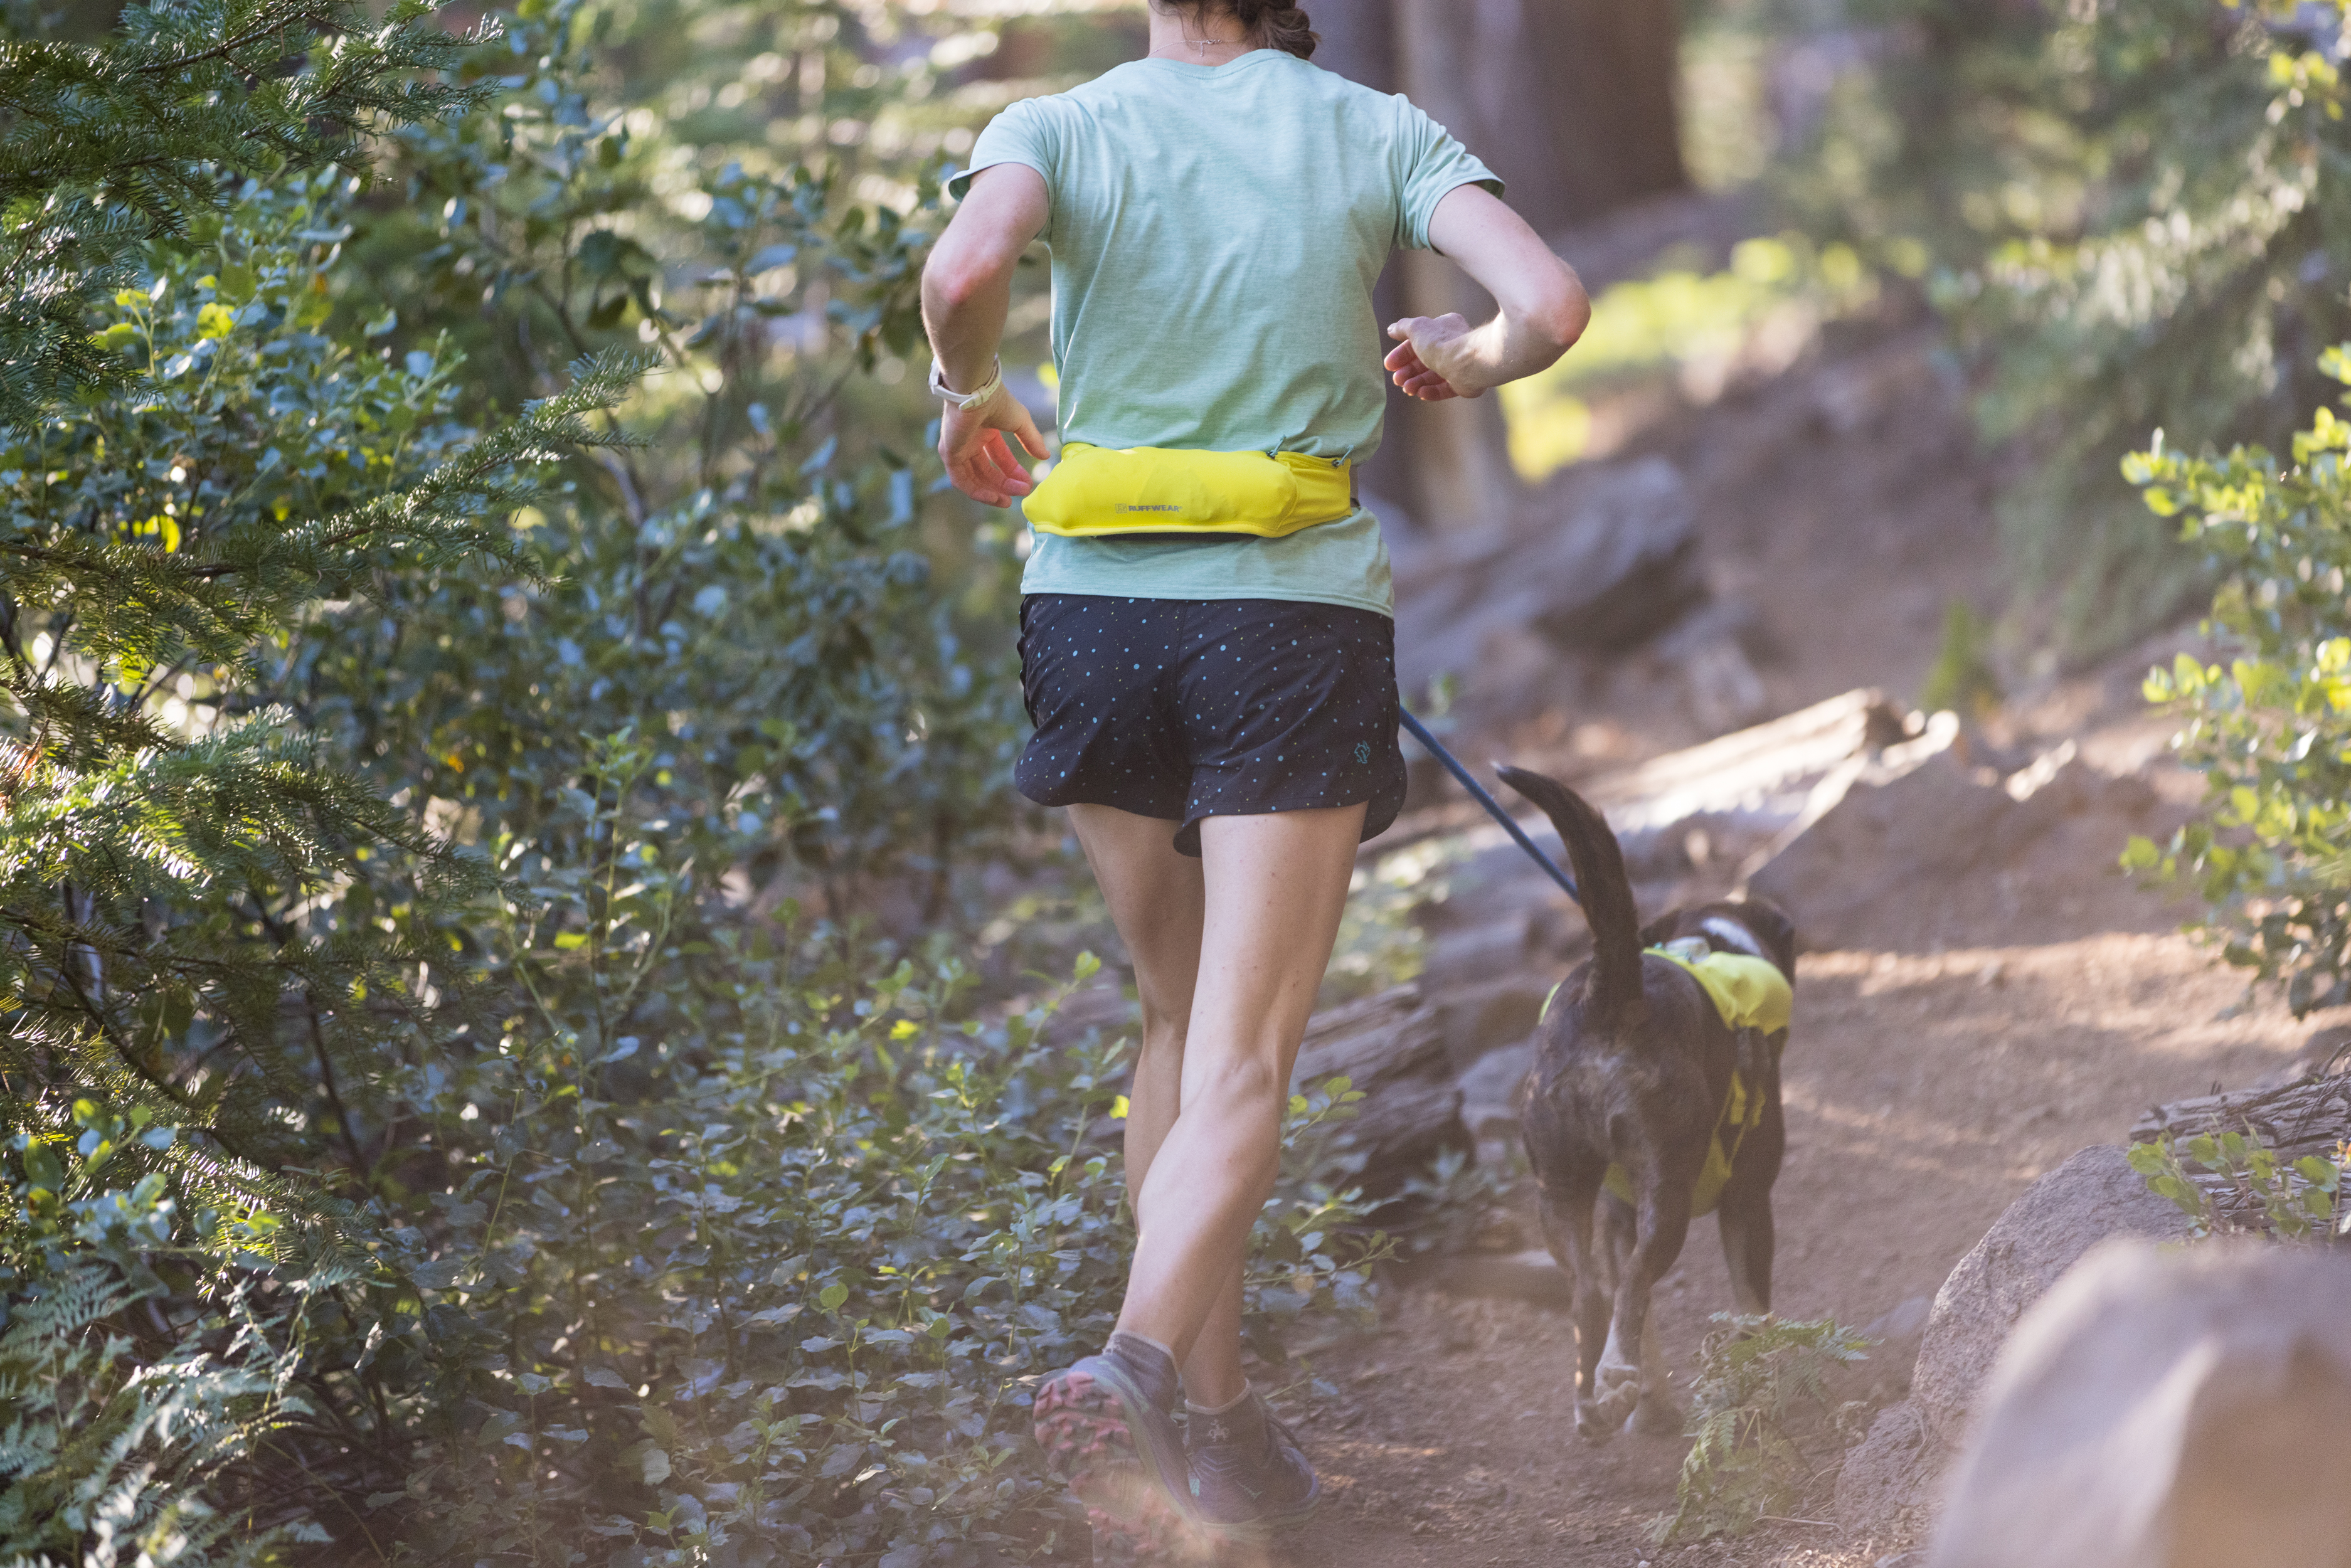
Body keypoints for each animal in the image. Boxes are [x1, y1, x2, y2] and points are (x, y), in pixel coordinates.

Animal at [1495, 766, 1786, 1438]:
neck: (1711, 942)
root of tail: (1613, 991)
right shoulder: (1748, 1200)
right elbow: (1751, 1308)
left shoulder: (1616, 1213)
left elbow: (1641, 1312)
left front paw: (1644, 1406)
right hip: (1667, 1192)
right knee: (1628, 1286)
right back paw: (1614, 1380)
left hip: (1560, 1191)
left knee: (1591, 1296)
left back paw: (1597, 1401)